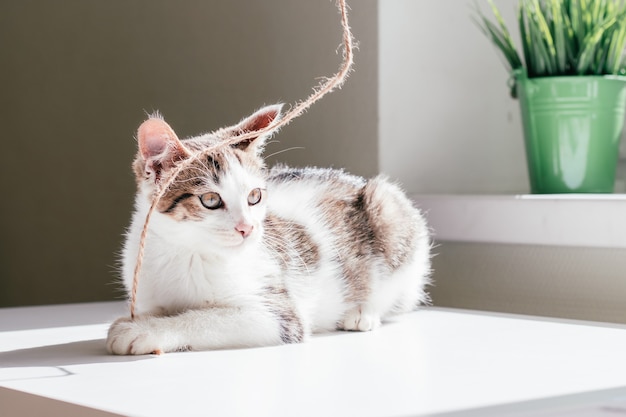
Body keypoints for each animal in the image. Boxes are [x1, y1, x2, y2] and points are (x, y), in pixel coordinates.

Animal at [106, 105, 428, 354]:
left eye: (254, 196)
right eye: (210, 200)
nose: (247, 228)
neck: (186, 250)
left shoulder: (278, 314)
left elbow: (205, 318)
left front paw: (144, 330)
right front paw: (142, 320)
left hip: (389, 208)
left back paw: (362, 313)